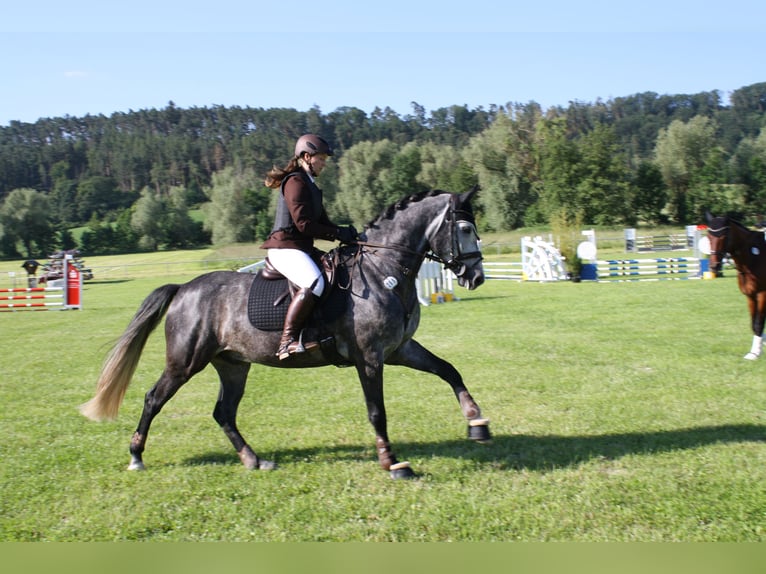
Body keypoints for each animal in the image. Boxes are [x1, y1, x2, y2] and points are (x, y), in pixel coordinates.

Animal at [708, 214, 766, 362]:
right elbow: (753, 324)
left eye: (723, 237)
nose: (714, 266)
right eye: (709, 237)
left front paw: (754, 353)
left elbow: (758, 324)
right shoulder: (750, 296)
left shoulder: (762, 294)